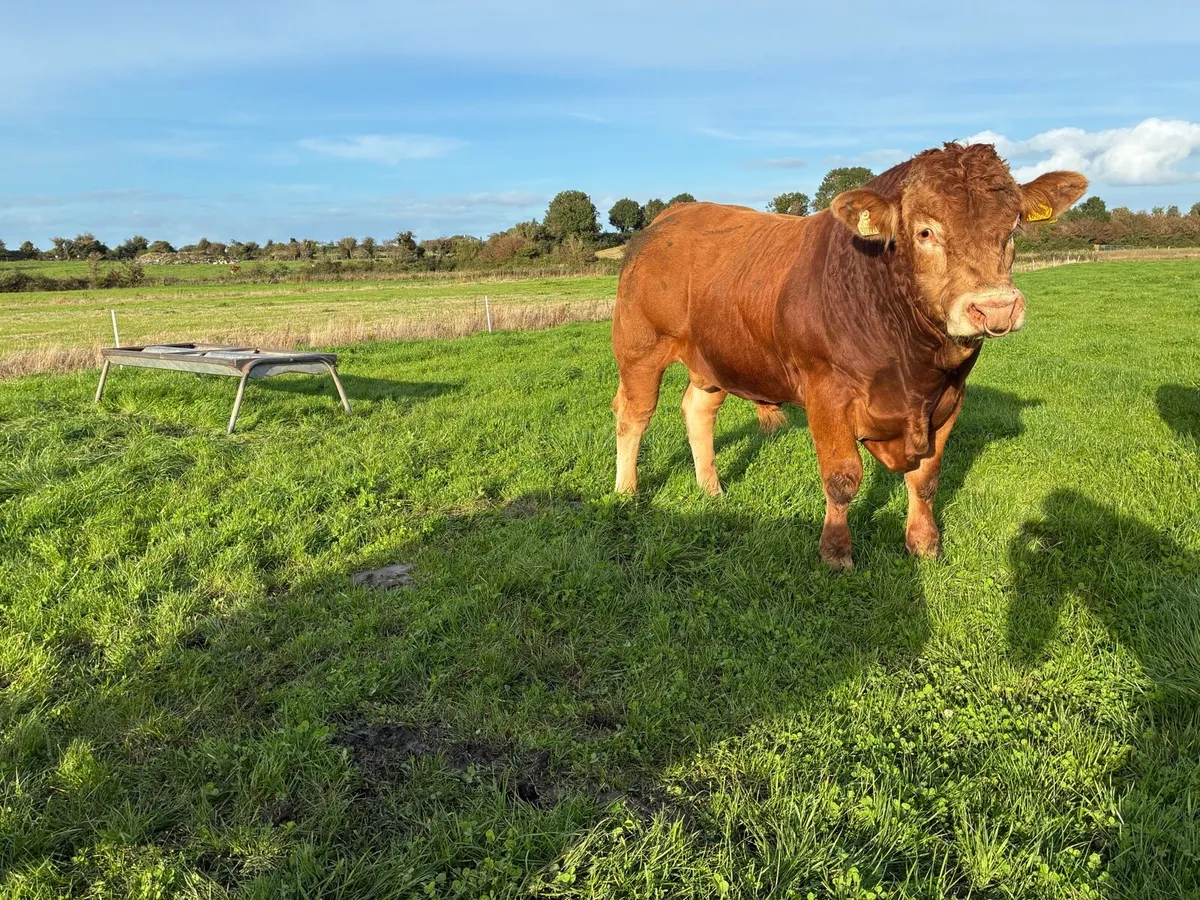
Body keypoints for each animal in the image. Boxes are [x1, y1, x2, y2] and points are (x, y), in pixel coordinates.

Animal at [611, 142, 1087, 570]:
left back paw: (711, 489)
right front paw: (836, 553)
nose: (996, 307)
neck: (913, 365)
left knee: (698, 410)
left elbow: (927, 479)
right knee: (633, 416)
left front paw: (925, 545)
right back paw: (626, 491)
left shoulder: (950, 399)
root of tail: (672, 215)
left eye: (1013, 229)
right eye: (925, 231)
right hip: (639, 349)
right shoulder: (827, 395)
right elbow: (842, 479)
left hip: (714, 359)